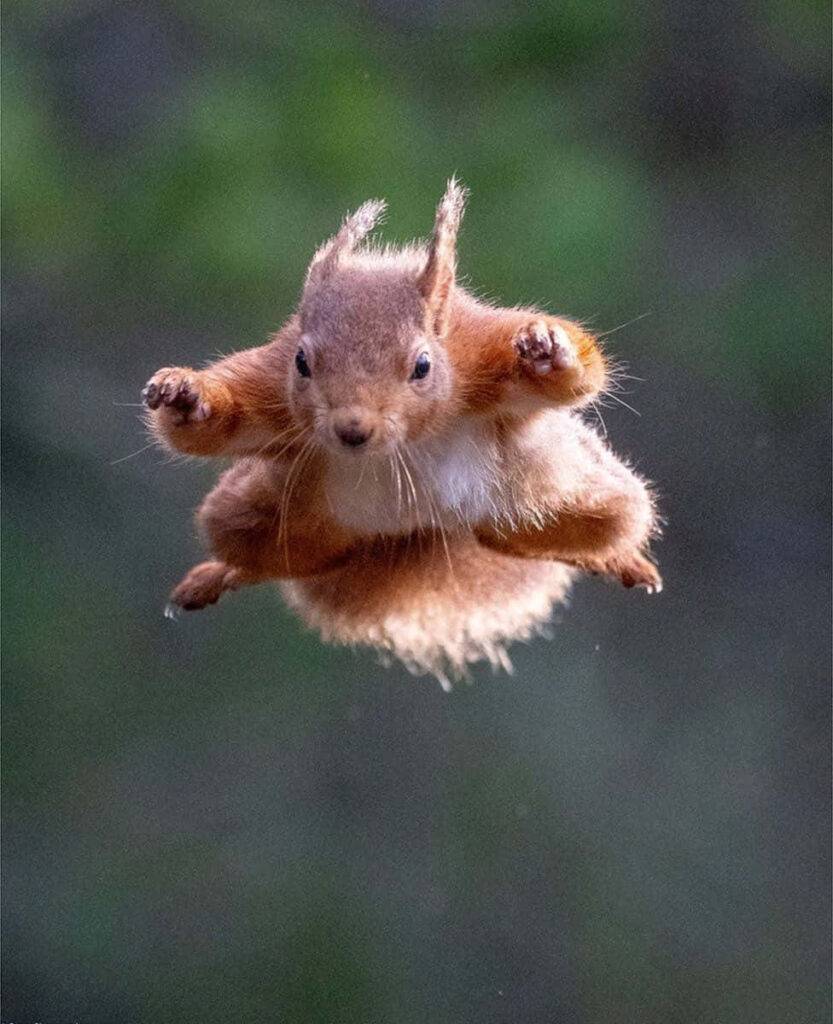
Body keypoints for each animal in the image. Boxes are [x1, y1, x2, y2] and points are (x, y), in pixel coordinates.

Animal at [142, 179, 661, 685]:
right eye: (302, 362)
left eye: (423, 365)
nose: (352, 429)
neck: (405, 442)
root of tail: (425, 530)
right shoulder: (272, 388)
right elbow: (208, 432)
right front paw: (185, 395)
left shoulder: (481, 353)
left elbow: (581, 379)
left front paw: (549, 350)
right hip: (266, 514)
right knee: (268, 556)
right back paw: (219, 575)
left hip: (566, 494)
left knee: (585, 533)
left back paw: (622, 562)